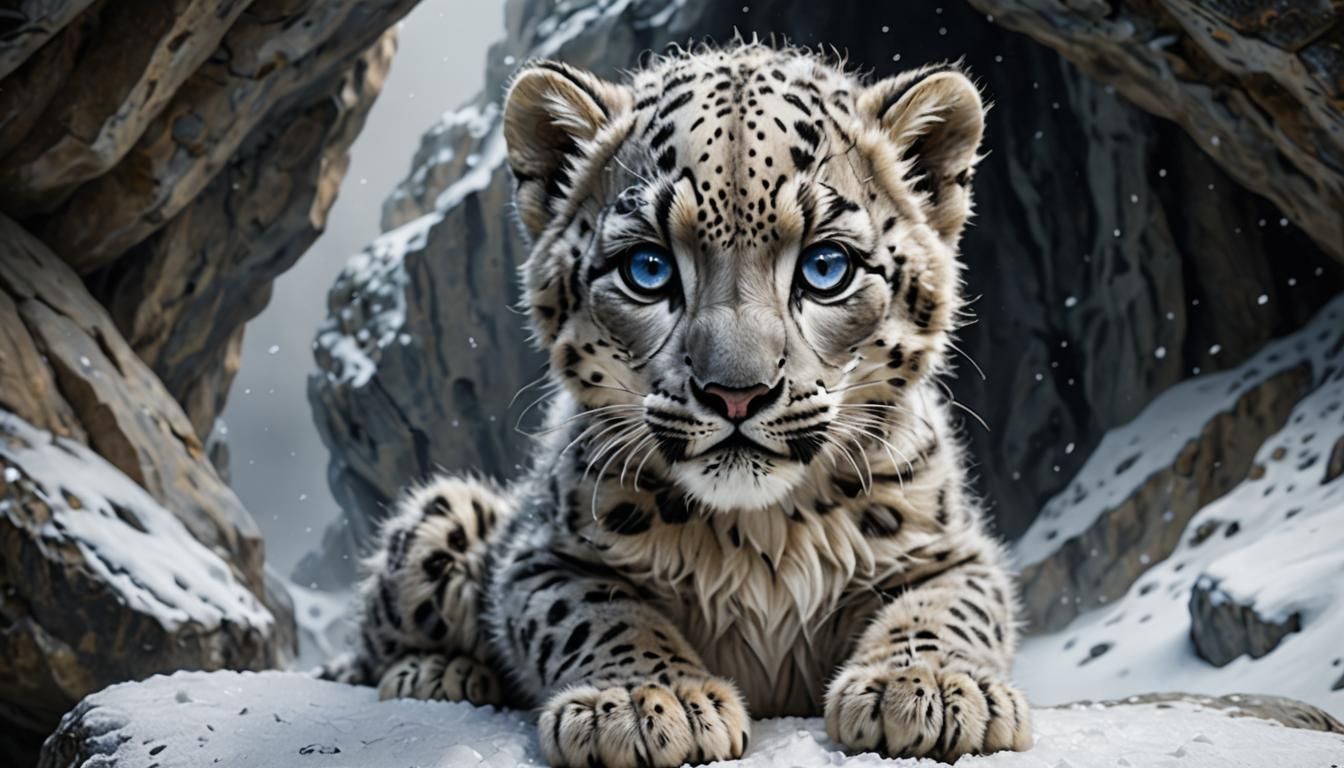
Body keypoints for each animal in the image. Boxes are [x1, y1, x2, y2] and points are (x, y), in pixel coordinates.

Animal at [326, 42, 1033, 766]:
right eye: (648, 269)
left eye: (826, 266)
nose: (736, 393)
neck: (764, 533)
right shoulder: (545, 555)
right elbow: (596, 611)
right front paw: (646, 700)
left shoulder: (950, 546)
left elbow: (950, 606)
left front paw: (928, 686)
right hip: (441, 518)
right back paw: (437, 673)